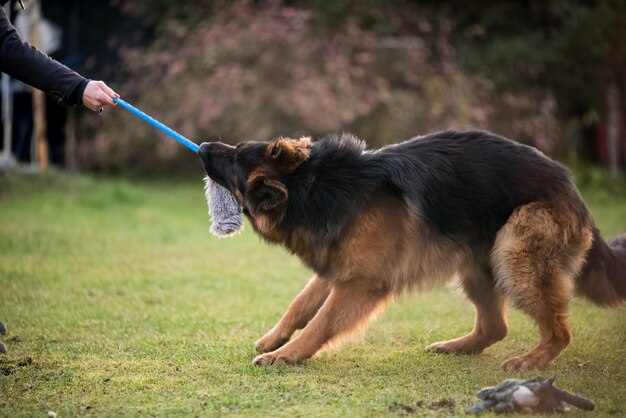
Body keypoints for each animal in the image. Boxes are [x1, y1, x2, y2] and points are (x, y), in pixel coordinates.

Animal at [197, 129, 620, 370]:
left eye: (233, 158)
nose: (201, 146)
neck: (315, 187)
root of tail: (572, 189)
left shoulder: (360, 284)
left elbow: (321, 322)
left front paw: (286, 355)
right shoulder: (339, 267)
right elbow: (300, 305)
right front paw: (274, 339)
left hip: (515, 252)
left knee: (559, 332)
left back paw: (530, 361)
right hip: (478, 263)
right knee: (495, 327)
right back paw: (458, 347)